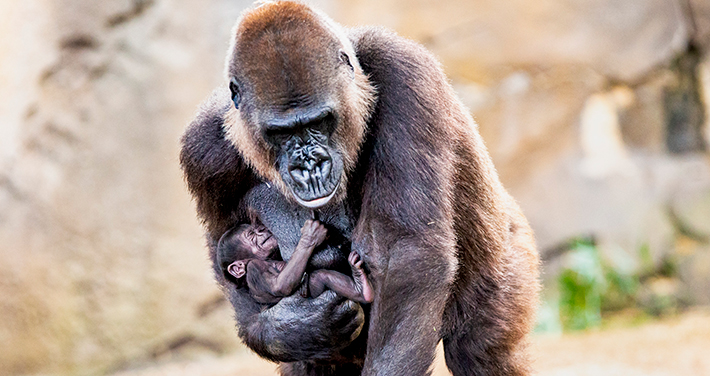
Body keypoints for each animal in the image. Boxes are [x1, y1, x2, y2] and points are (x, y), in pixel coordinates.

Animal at [216, 220, 372, 306]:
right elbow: (279, 286)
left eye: (254, 230)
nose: (260, 228)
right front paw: (311, 235)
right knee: (319, 277)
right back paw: (362, 289)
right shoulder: (255, 268)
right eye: (250, 234)